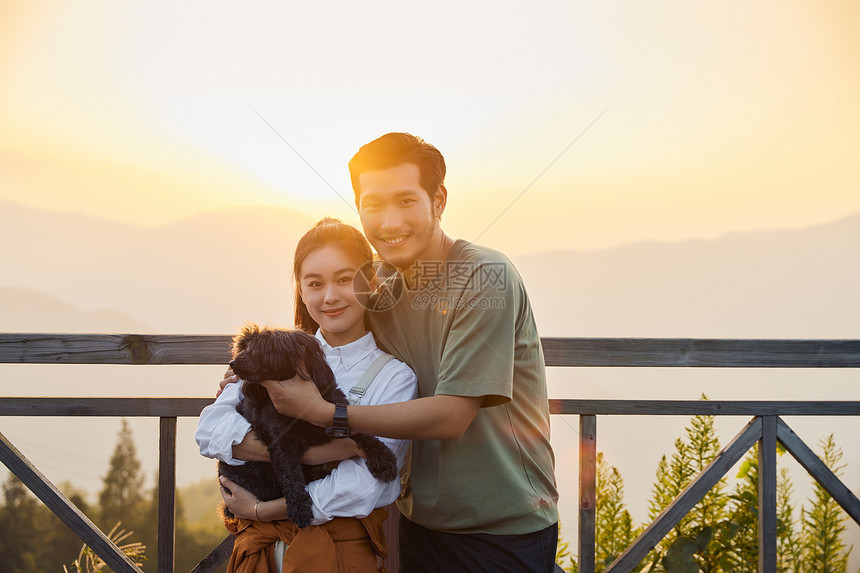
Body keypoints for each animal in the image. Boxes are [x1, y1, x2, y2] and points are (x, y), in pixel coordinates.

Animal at [220, 326, 398, 528]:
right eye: (245, 348)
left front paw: (384, 459)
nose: (232, 363)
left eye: (259, 350)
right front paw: (299, 508)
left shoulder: (332, 420)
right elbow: (291, 477)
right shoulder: (281, 445)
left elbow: (363, 433)